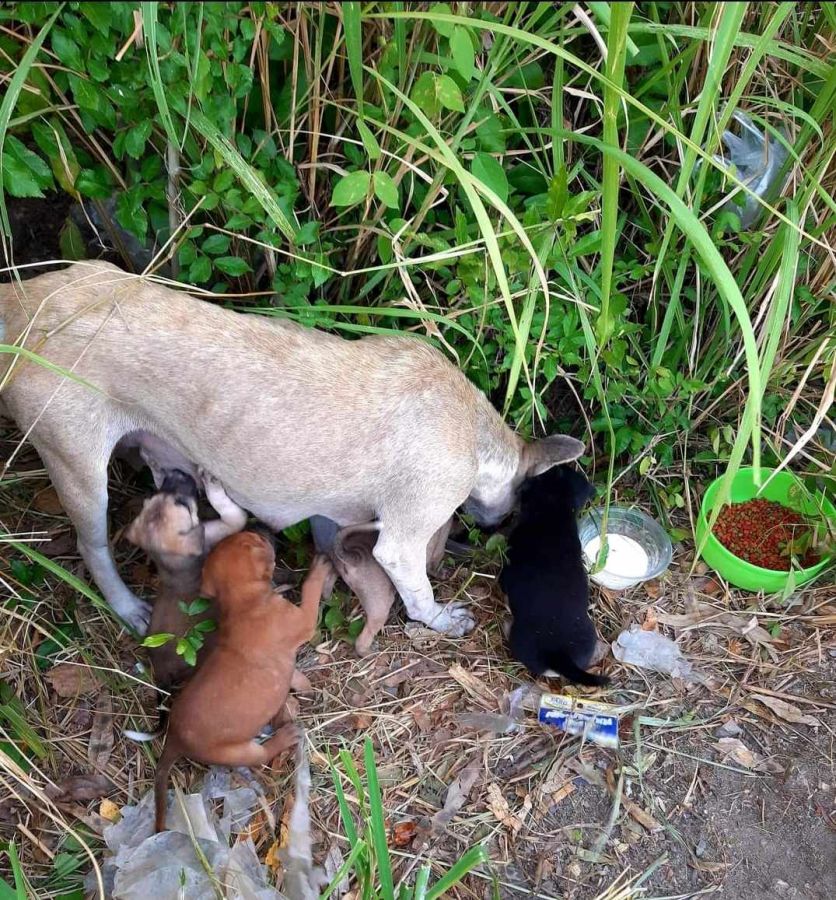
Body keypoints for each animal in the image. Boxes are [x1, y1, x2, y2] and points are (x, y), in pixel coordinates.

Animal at [0, 262, 584, 636]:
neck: (472, 427)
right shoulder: (404, 538)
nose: (496, 523)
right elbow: (417, 591)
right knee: (94, 547)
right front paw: (441, 620)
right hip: (78, 472)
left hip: (165, 459)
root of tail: (22, 303)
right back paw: (127, 608)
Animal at [123, 468, 247, 689]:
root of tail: (162, 672)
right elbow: (229, 509)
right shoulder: (226, 524)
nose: (176, 471)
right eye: (183, 504)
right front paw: (212, 484)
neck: (172, 563)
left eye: (157, 494)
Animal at [153, 531, 332, 832]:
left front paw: (303, 684)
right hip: (240, 752)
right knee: (262, 754)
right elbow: (311, 591)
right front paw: (318, 570)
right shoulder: (303, 620)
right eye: (257, 537)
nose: (264, 529)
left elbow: (293, 675)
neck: (243, 603)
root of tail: (173, 738)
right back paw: (285, 736)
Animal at [310, 516, 452, 655]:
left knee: (328, 580)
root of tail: (356, 556)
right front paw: (442, 574)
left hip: (335, 567)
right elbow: (435, 564)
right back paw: (370, 653)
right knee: (362, 640)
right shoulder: (438, 547)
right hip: (380, 607)